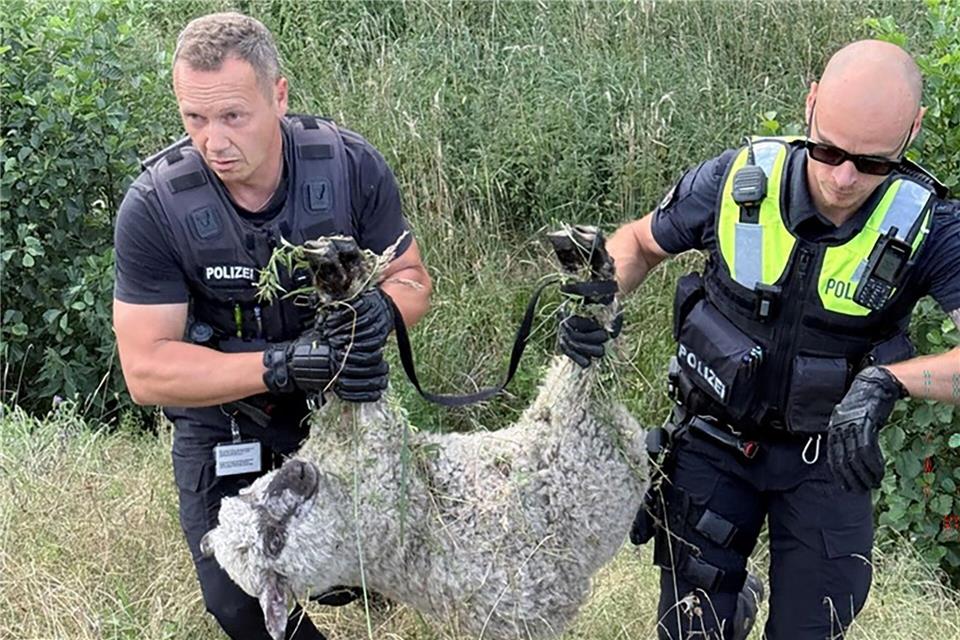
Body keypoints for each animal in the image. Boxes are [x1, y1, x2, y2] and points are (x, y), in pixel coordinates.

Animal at [199, 227, 650, 640]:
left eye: (246, 496)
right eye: (273, 541)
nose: (297, 474)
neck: (338, 486)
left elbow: (351, 353)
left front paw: (339, 291)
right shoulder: (385, 464)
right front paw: (341, 276)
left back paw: (578, 261)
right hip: (577, 438)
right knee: (587, 372)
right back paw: (589, 270)